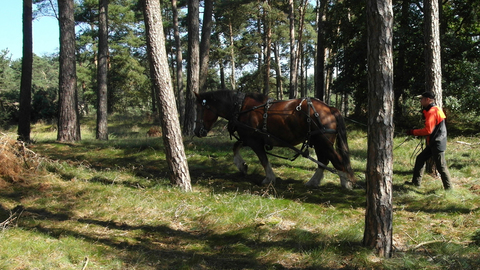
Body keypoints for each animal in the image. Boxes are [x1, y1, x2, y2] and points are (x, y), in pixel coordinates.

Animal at [193, 89, 354, 189]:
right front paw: (242, 166)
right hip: (318, 141)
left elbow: (263, 159)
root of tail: (330, 108)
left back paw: (345, 184)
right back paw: (313, 182)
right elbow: (235, 147)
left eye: (199, 109)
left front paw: (269, 178)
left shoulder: (254, 141)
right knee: (324, 161)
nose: (197, 132)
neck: (241, 108)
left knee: (337, 160)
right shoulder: (249, 137)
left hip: (324, 141)